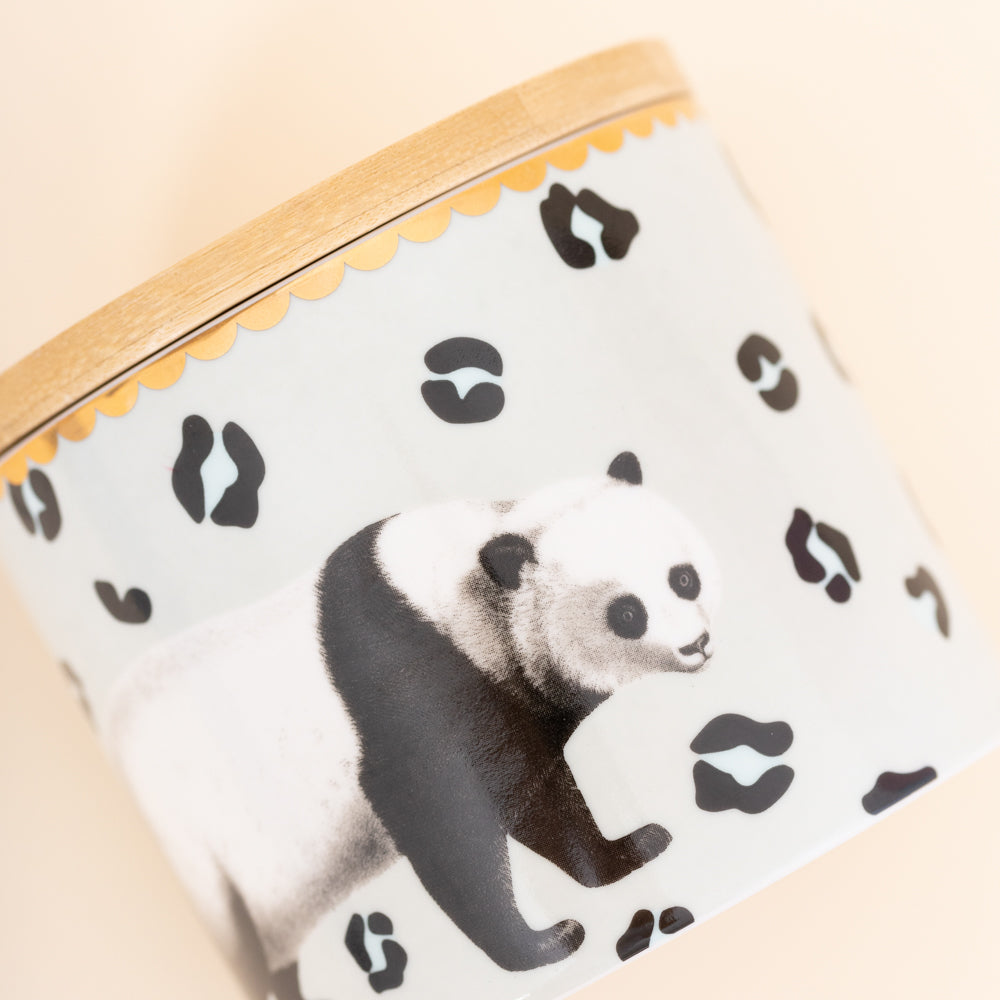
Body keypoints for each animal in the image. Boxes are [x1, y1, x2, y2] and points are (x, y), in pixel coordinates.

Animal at [107, 452, 720, 1000]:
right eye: (627, 612)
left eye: (684, 578)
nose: (697, 644)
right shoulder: (408, 678)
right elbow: (446, 815)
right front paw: (549, 940)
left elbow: (534, 794)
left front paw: (627, 849)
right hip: (208, 859)